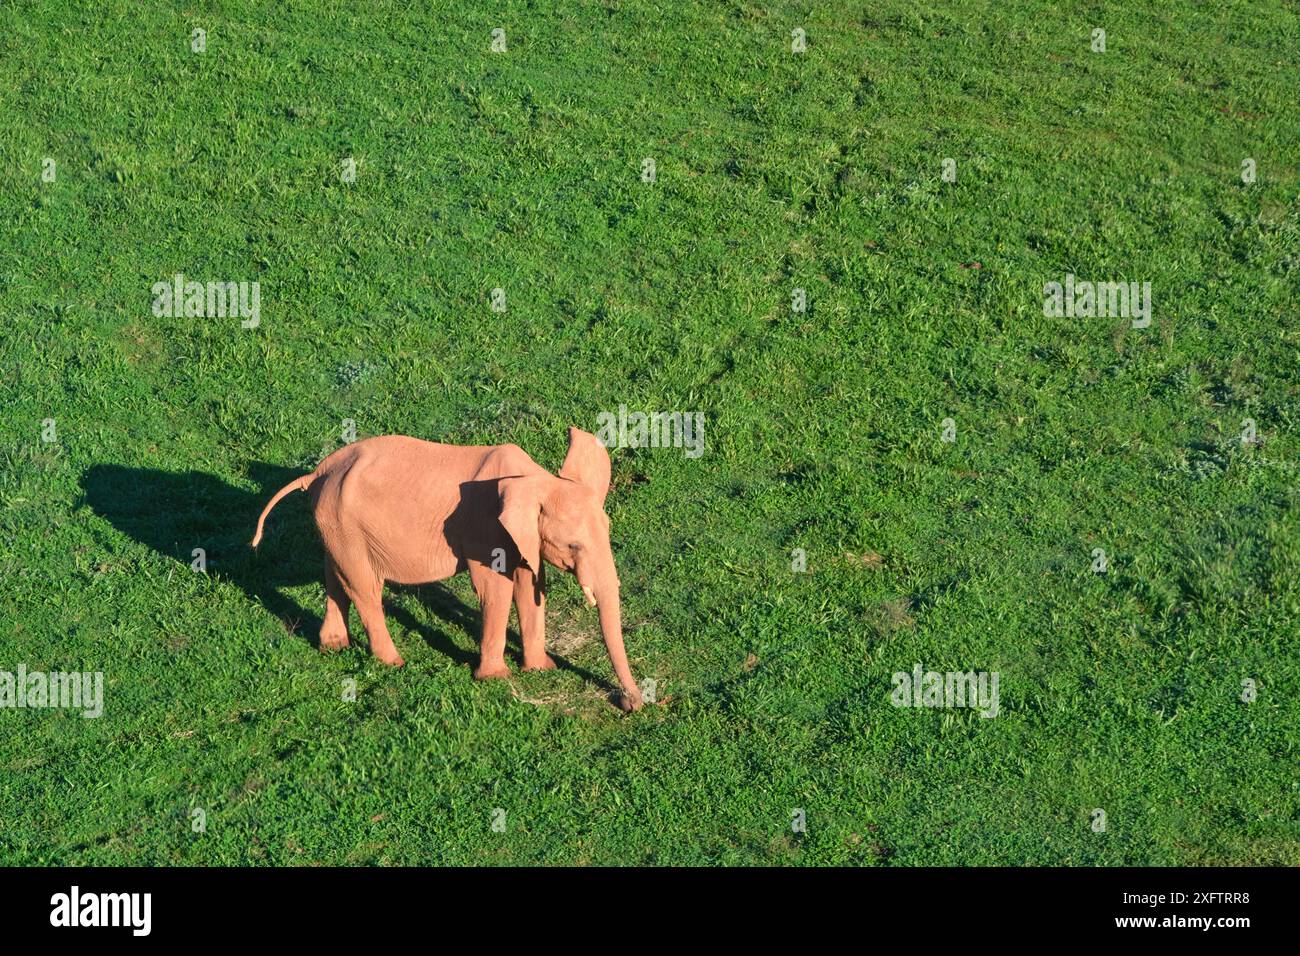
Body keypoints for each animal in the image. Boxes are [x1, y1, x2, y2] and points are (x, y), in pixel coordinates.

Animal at [251, 426, 643, 712]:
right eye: (574, 546)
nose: (629, 704)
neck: (535, 480)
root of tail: (319, 471)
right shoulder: (485, 528)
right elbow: (496, 588)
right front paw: (495, 678)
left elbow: (530, 583)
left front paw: (540, 669)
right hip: (343, 522)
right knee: (365, 587)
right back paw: (394, 662)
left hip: (335, 524)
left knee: (336, 576)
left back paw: (333, 647)